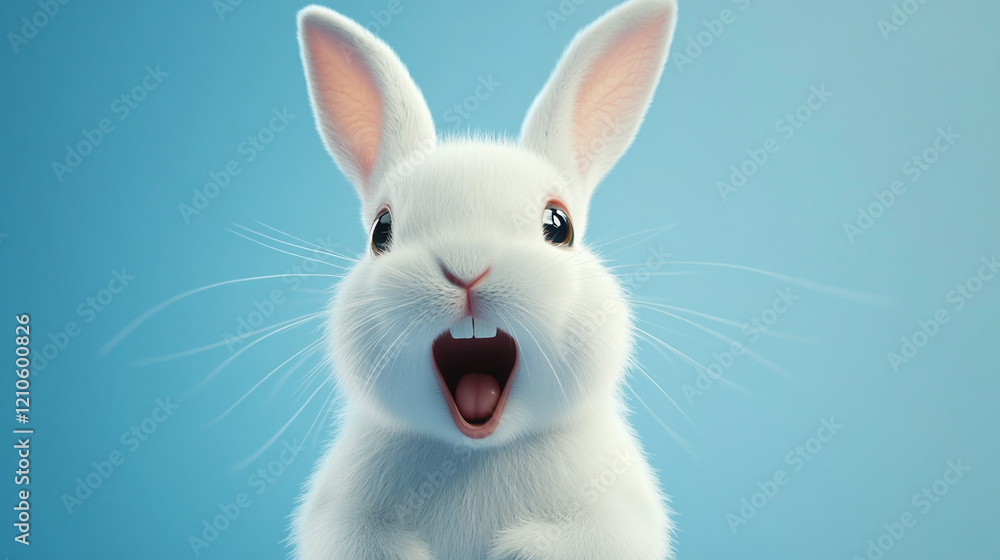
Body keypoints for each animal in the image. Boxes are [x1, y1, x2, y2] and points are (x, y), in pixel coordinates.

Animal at [292, 0, 679, 558]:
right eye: (381, 230)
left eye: (559, 225)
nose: (467, 267)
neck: (475, 450)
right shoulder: (341, 520)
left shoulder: (617, 518)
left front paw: (515, 547)